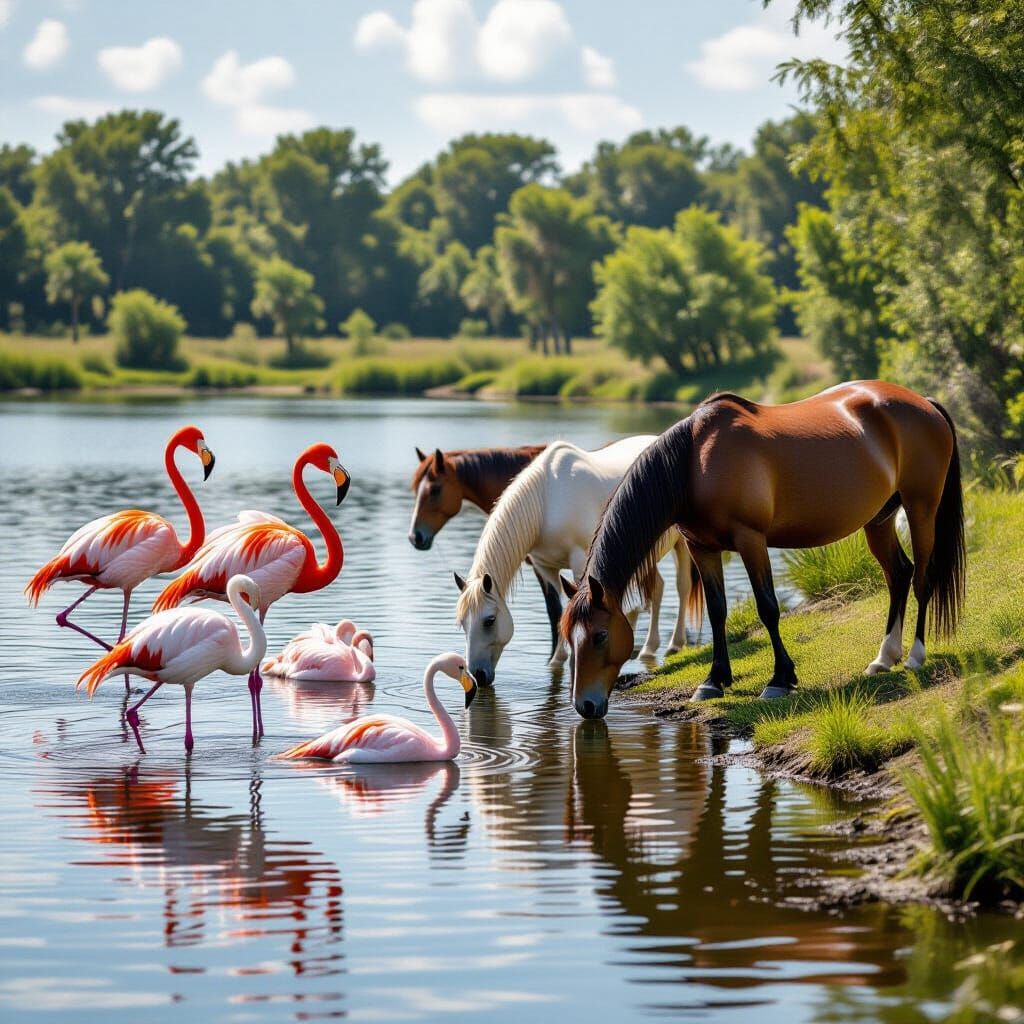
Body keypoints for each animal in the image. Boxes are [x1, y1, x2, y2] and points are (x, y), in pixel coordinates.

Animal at [453, 437, 695, 687]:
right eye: (462, 623)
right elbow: (556, 610)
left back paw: (674, 644)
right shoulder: (545, 568)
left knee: (682, 586)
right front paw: (556, 660)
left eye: (489, 620)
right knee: (658, 588)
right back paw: (649, 648)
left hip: (681, 543)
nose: (478, 676)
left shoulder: (581, 563)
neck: (546, 501)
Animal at [562, 382, 965, 719]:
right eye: (568, 637)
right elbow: (717, 611)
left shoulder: (751, 540)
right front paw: (713, 681)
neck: (694, 464)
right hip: (879, 520)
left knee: (922, 577)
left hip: (921, 507)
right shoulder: (701, 548)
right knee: (899, 574)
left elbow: (768, 607)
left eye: (600, 636)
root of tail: (923, 403)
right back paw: (884, 657)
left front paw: (780, 680)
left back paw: (914, 656)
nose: (585, 705)